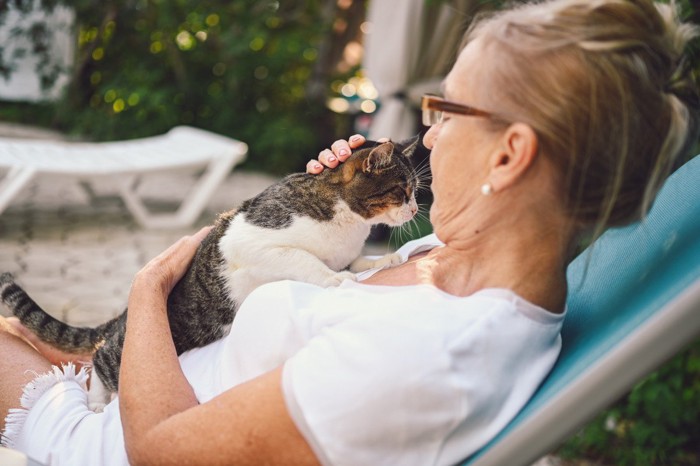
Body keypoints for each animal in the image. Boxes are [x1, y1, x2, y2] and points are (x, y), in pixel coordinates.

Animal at [0, 137, 422, 408]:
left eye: (416, 190)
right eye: (402, 190)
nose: (416, 209)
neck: (349, 224)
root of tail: (123, 317)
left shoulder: (345, 252)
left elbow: (354, 261)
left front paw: (379, 262)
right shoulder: (252, 243)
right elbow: (304, 260)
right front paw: (336, 279)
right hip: (138, 345)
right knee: (102, 355)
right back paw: (96, 402)